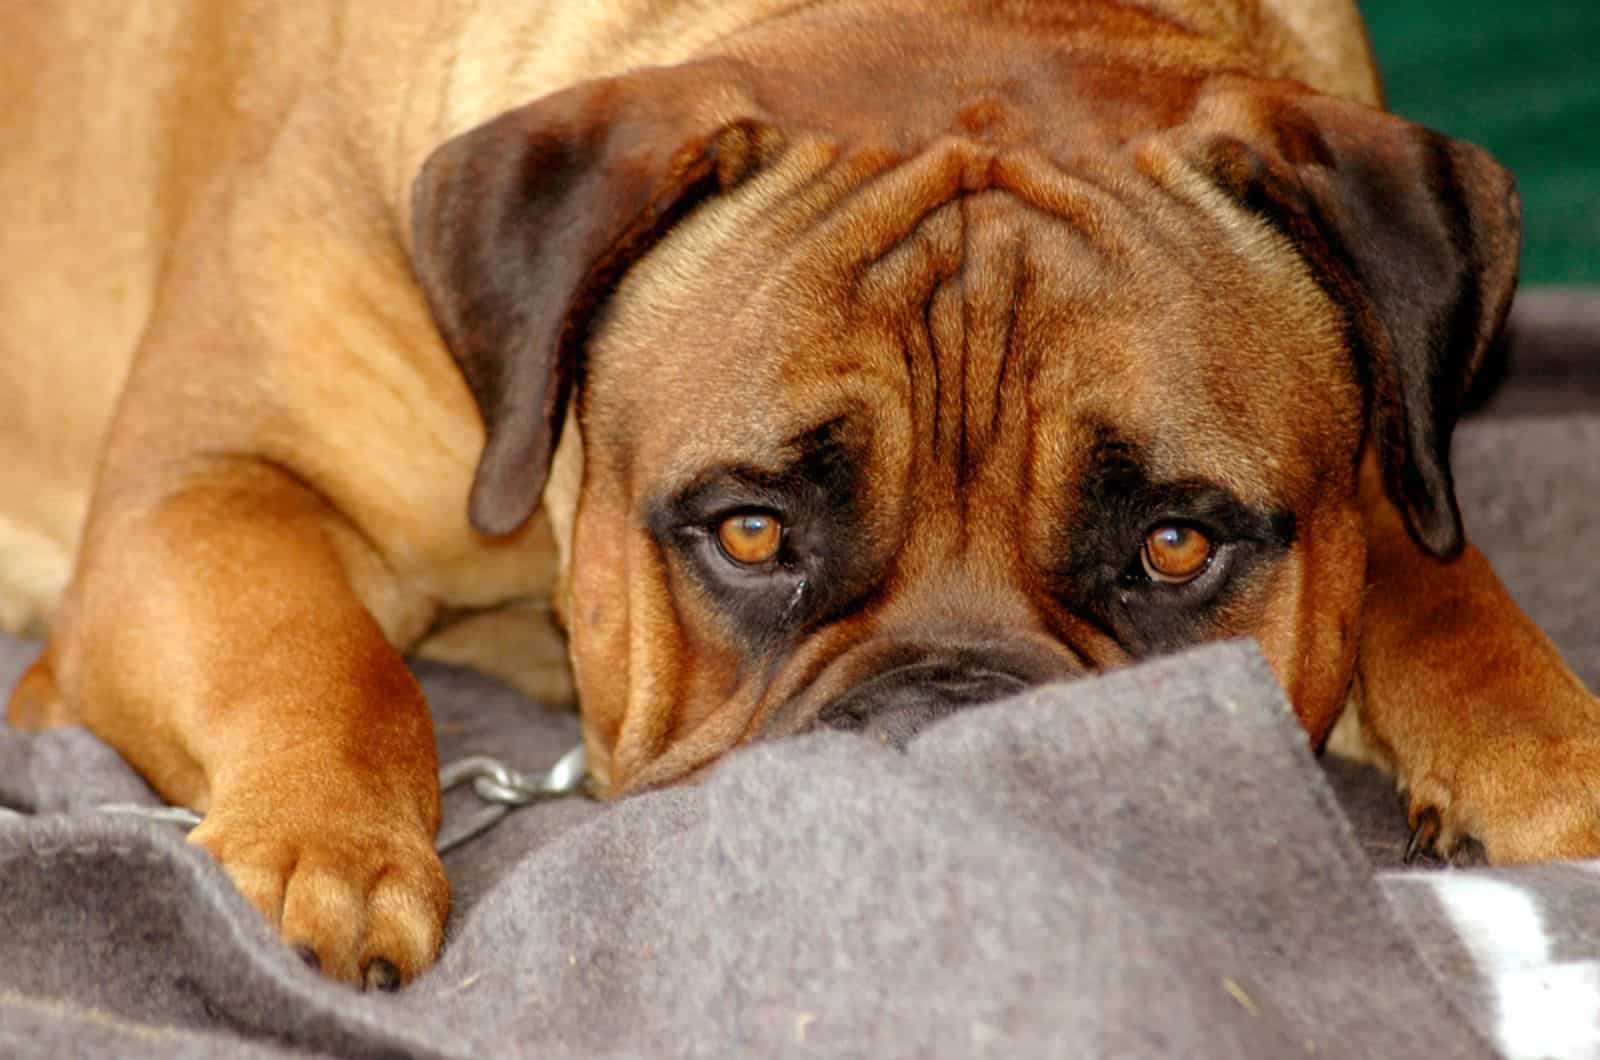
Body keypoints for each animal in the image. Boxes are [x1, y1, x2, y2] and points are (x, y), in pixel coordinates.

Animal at [3, 0, 1600, 992]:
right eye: (752, 530)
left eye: (1174, 545)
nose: (948, 730)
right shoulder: (200, 485)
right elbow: (318, 654)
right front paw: (323, 859)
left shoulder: (1389, 470)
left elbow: (1444, 586)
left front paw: (1553, 766)